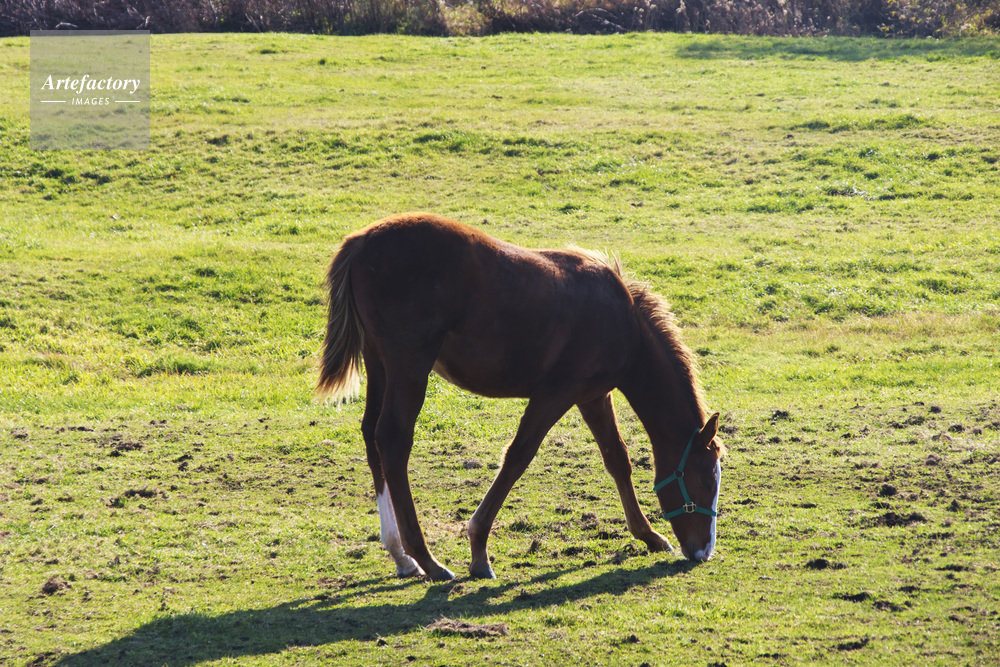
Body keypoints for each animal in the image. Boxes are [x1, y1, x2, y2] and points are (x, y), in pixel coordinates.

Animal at [318, 212, 725, 581]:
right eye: (707, 480)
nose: (704, 551)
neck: (623, 320)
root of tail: (363, 241)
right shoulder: (557, 392)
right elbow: (517, 457)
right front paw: (479, 551)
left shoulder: (592, 397)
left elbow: (617, 459)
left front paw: (649, 536)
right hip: (410, 366)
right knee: (393, 439)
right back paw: (428, 561)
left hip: (379, 363)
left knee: (371, 434)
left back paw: (402, 556)